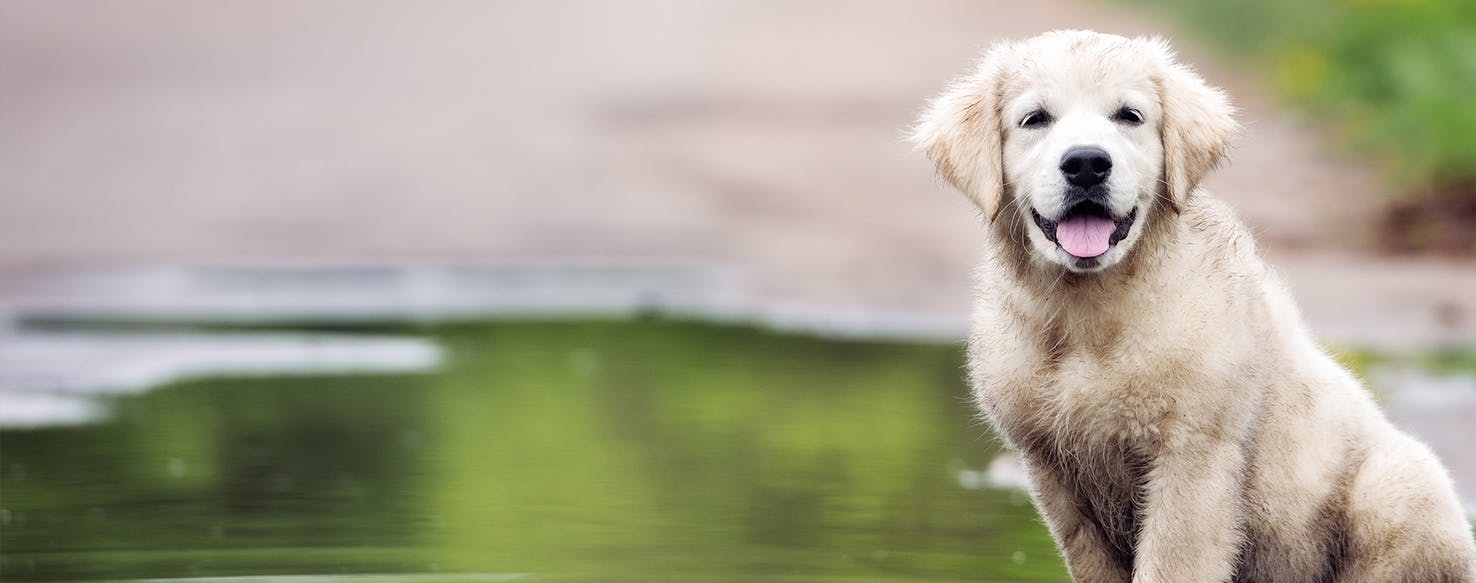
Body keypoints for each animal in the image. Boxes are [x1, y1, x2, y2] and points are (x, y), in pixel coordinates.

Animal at [909, 30, 1476, 583]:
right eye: (1035, 119)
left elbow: (1171, 564)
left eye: (1129, 116)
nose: (1087, 163)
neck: (1089, 313)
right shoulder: (1055, 474)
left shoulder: (1193, 458)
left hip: (1397, 489)